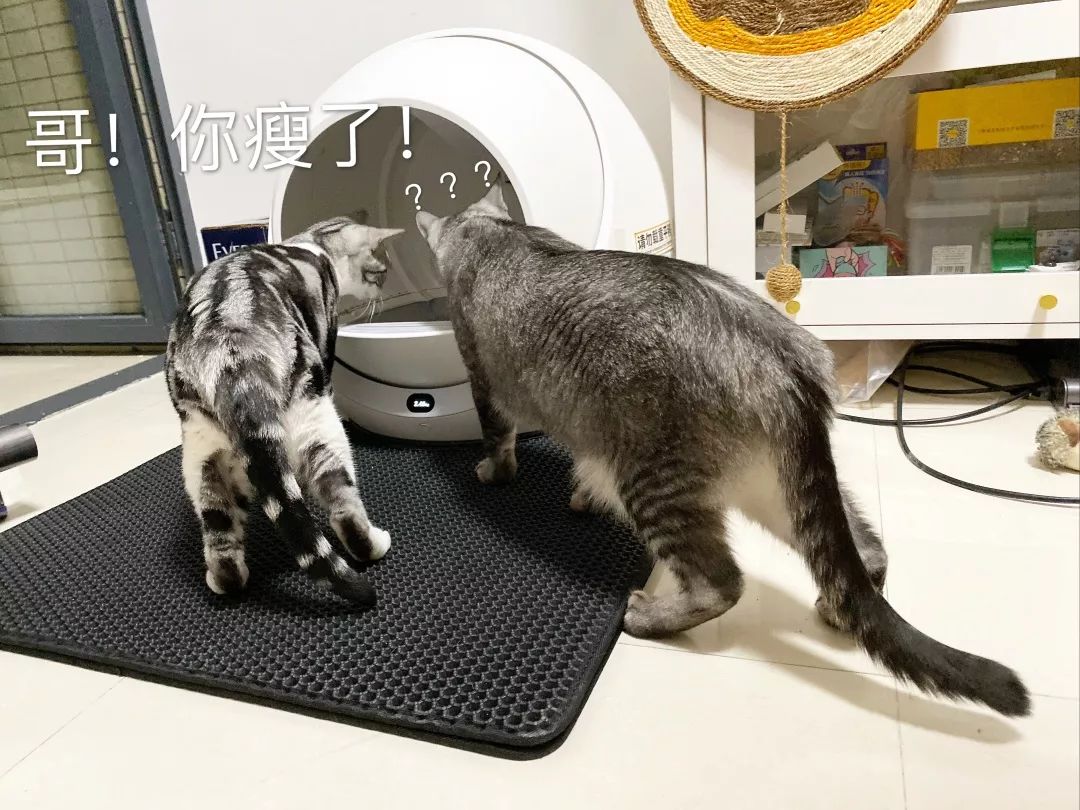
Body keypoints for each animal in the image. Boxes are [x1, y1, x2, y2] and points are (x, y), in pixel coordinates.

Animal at [165, 217, 402, 605]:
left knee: (222, 542)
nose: (386, 288)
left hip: (203, 454)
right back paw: (375, 545)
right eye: (379, 272)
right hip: (318, 424)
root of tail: (233, 350)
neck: (313, 242)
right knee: (344, 508)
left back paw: (222, 579)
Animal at [415, 185, 1030, 717]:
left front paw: (495, 471)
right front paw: (580, 495)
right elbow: (580, 473)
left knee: (721, 583)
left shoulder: (484, 382)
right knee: (863, 550)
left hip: (655, 482)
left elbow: (499, 440)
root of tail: (785, 363)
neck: (493, 233)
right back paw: (838, 607)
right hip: (779, 494)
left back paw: (648, 616)